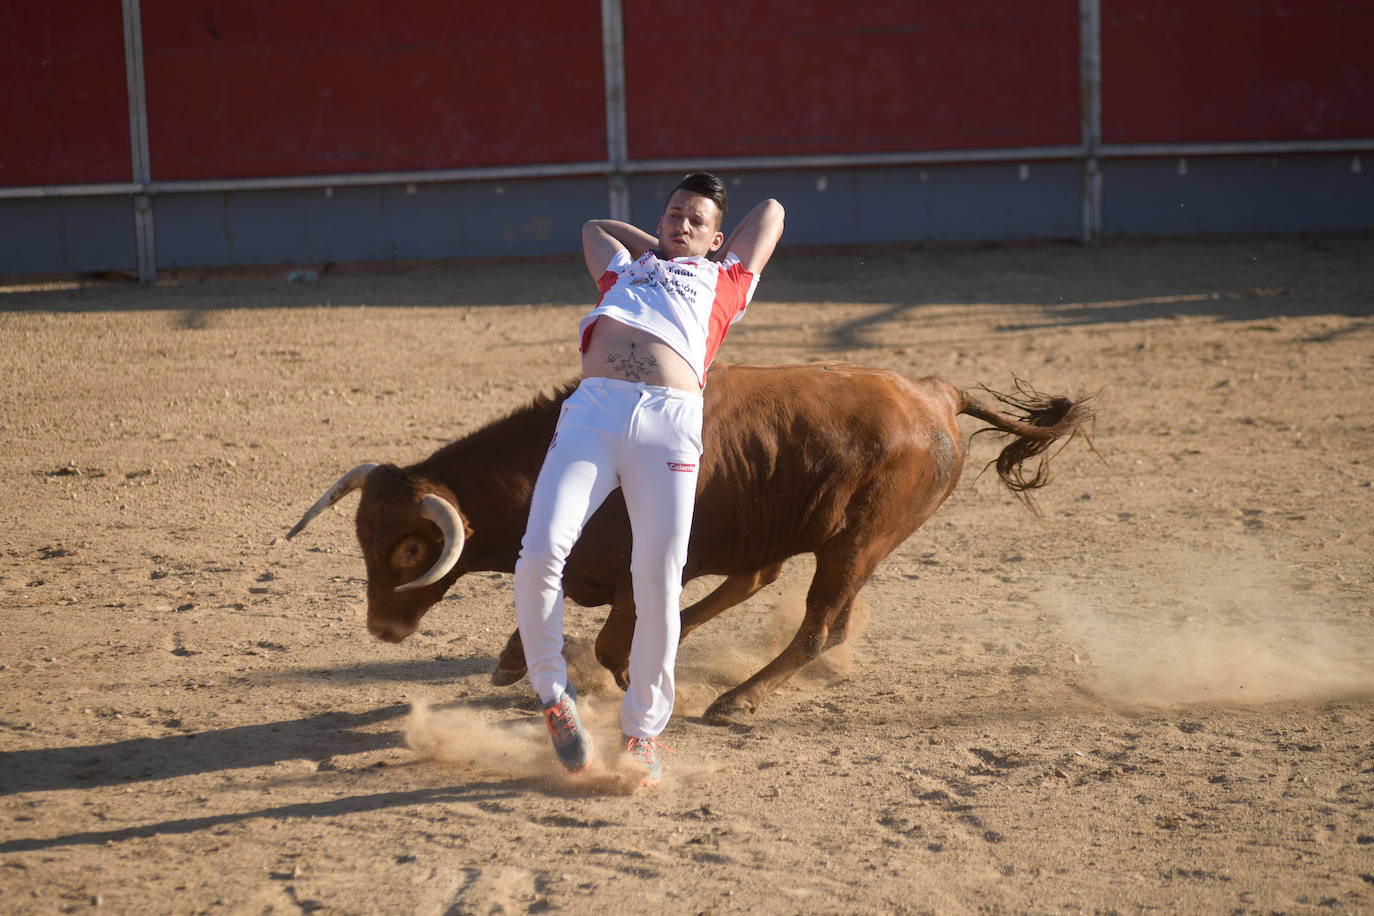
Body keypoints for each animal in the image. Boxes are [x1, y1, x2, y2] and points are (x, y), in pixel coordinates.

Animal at [289, 362, 1093, 719]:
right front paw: (514, 661)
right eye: (363, 538)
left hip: (857, 542)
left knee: (817, 625)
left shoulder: (637, 573)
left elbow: (612, 642)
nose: (381, 628)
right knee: (767, 589)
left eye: (410, 551)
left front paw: (623, 681)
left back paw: (737, 699)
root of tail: (933, 392)